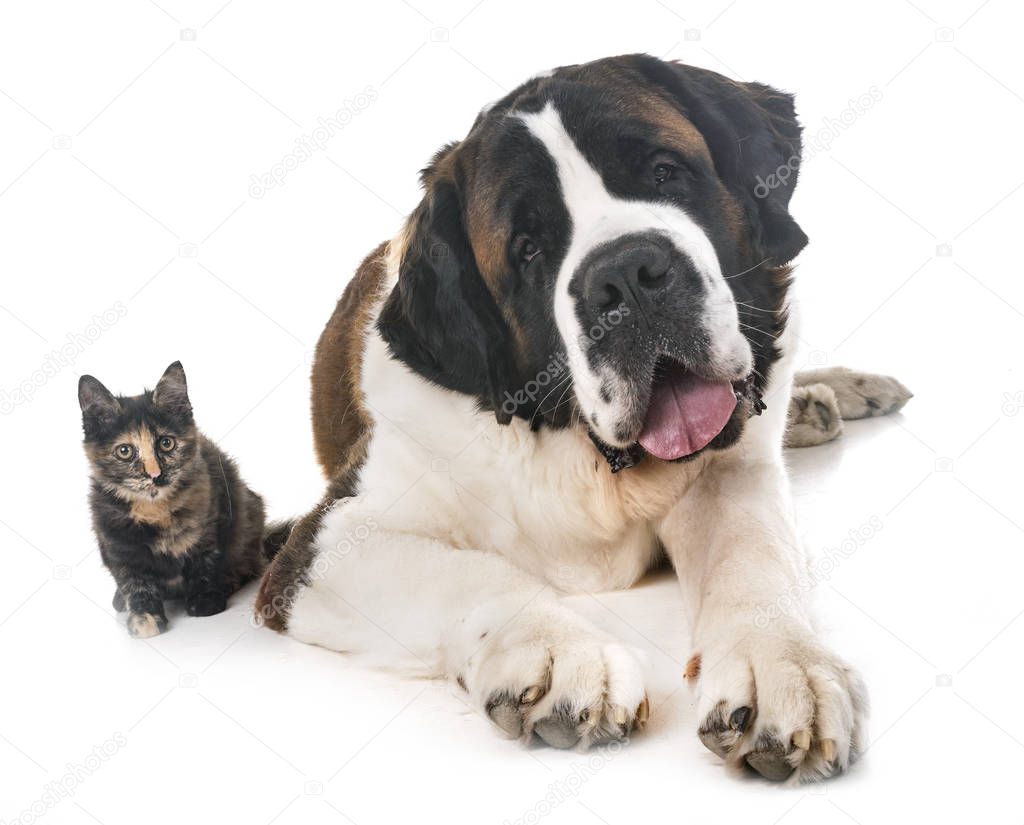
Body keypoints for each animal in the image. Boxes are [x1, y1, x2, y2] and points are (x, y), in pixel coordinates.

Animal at [79, 362, 268, 638]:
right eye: (124, 451)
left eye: (166, 443)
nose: (154, 474)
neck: (153, 510)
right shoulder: (115, 543)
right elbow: (134, 582)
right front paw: (144, 618)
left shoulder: (212, 518)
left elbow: (206, 561)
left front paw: (206, 600)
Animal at [256, 56, 913, 782]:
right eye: (528, 248)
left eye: (664, 172)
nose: (627, 275)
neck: (586, 458)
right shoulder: (326, 545)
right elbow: (470, 572)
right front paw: (555, 655)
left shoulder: (730, 472)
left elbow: (753, 550)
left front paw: (782, 663)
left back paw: (827, 395)